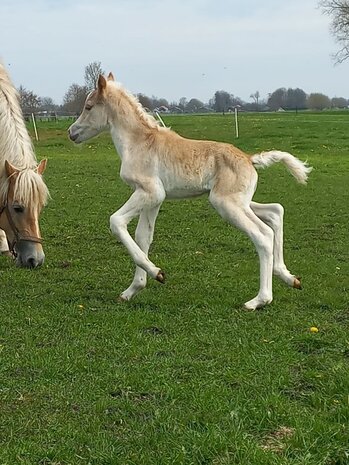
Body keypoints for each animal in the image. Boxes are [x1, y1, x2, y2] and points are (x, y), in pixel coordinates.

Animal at [68, 72, 310, 310]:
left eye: (88, 106)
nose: (71, 132)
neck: (138, 143)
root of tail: (249, 159)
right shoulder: (154, 199)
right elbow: (143, 236)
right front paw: (133, 289)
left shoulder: (151, 192)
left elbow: (116, 222)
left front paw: (157, 273)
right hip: (240, 202)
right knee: (275, 212)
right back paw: (288, 277)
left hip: (226, 204)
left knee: (263, 234)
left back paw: (259, 300)